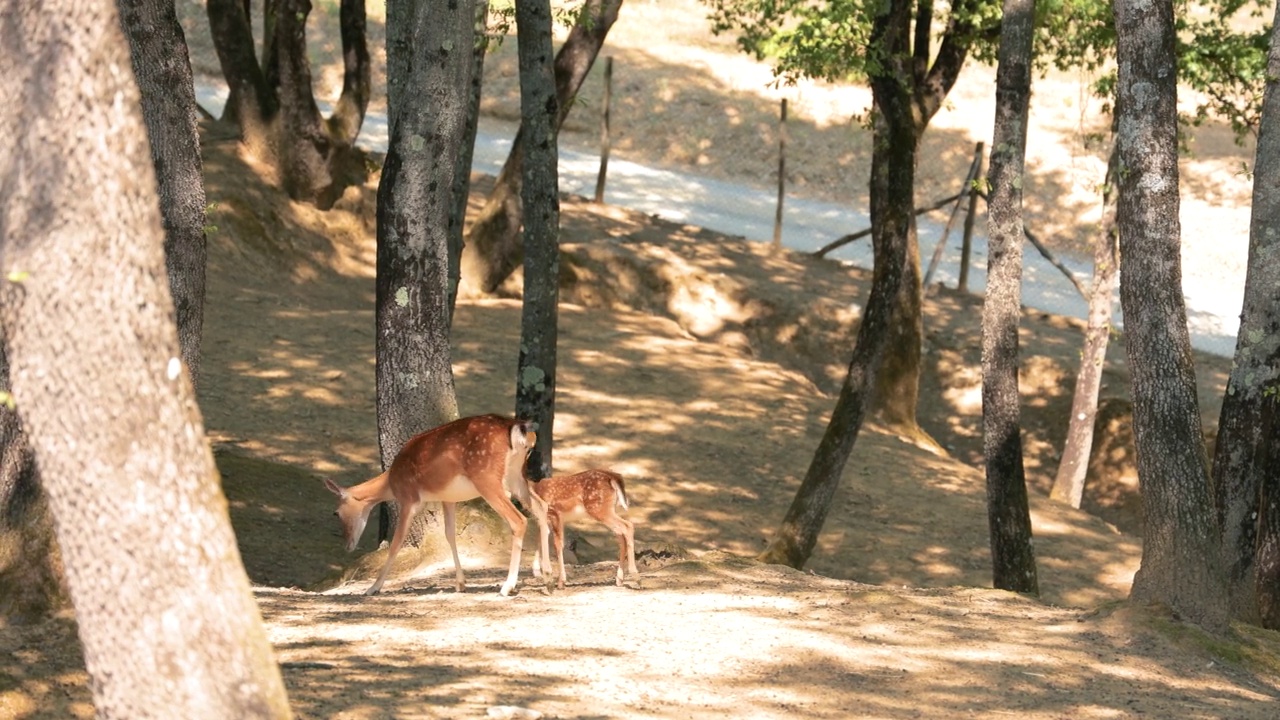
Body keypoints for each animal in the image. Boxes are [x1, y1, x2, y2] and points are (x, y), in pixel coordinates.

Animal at [325, 412, 545, 597]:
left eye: (336, 512)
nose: (347, 545)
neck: (391, 482)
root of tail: (518, 428)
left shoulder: (408, 498)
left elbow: (396, 542)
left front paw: (373, 587)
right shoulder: (448, 499)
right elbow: (450, 535)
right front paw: (460, 583)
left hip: (487, 478)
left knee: (519, 520)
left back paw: (508, 586)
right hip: (516, 476)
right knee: (541, 507)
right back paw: (544, 574)